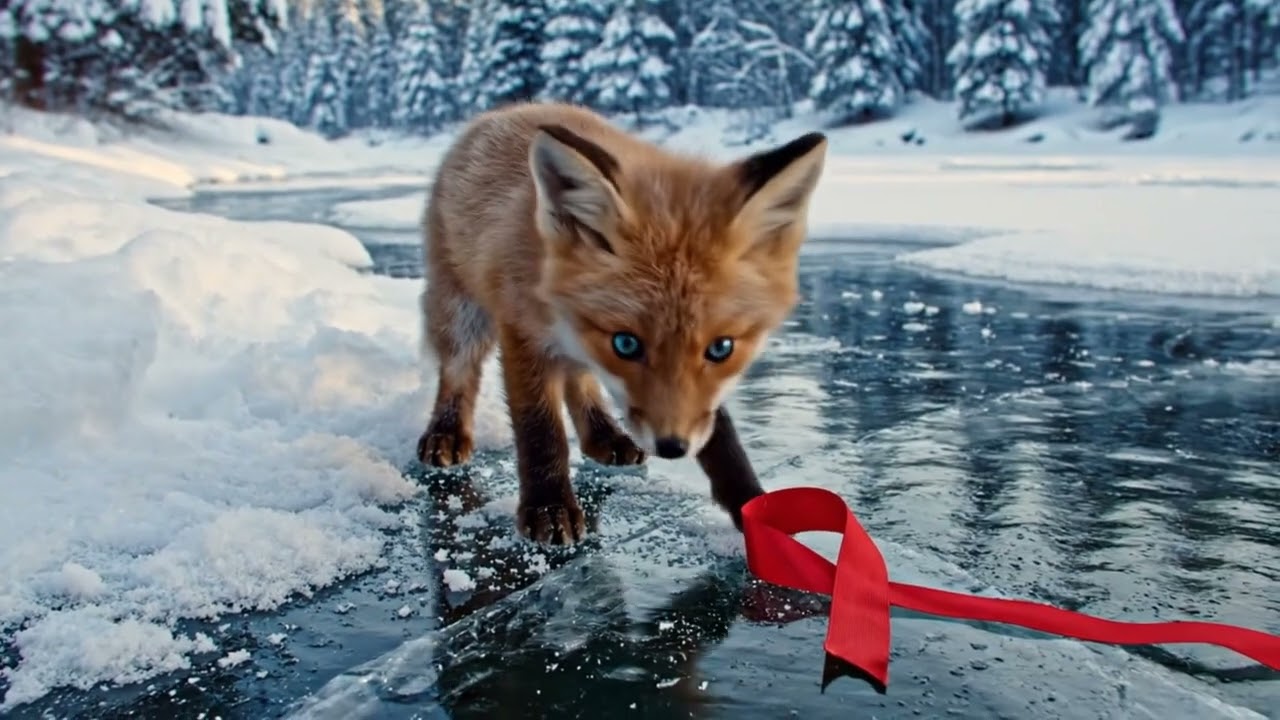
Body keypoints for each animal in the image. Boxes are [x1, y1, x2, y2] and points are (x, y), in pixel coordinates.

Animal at [415, 101, 827, 545]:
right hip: (462, 313)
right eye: (627, 344)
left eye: (721, 348)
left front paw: (752, 505)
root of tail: (509, 110)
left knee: (579, 381)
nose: (672, 447)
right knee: (460, 371)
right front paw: (548, 505)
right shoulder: (522, 330)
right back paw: (446, 433)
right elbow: (539, 428)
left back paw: (603, 436)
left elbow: (721, 437)